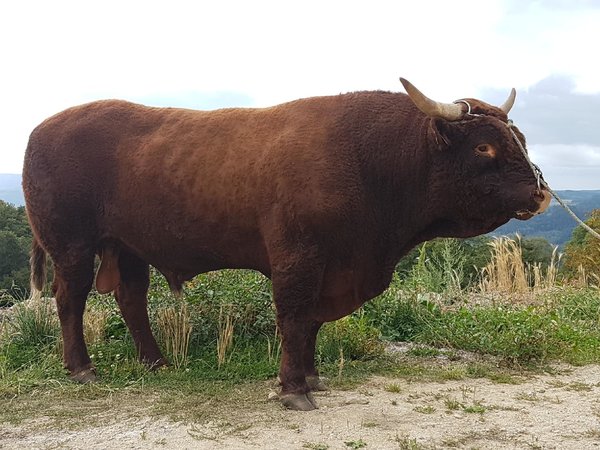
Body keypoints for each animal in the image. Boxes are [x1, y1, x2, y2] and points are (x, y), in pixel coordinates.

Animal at [22, 79, 548, 410]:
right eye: (484, 146)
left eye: (520, 138)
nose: (540, 192)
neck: (368, 159)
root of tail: (42, 127)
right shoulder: (299, 258)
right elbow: (295, 316)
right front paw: (293, 388)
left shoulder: (331, 266)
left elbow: (311, 321)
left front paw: (312, 377)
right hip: (71, 246)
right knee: (70, 300)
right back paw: (82, 369)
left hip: (129, 247)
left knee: (131, 299)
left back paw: (157, 362)